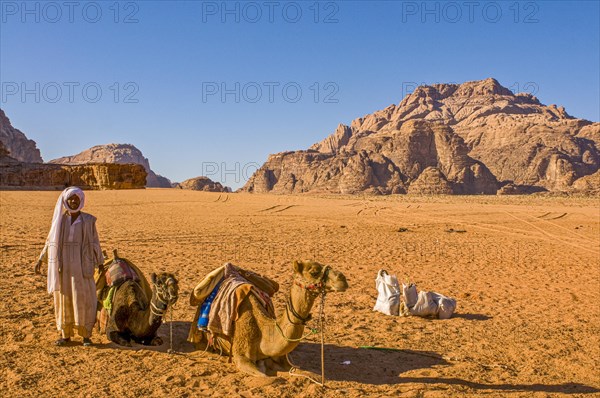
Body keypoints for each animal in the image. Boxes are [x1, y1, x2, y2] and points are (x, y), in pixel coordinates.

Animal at [205, 262, 346, 376]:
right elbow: (266, 377)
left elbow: (301, 370)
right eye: (313, 272)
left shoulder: (283, 357)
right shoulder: (241, 356)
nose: (343, 278)